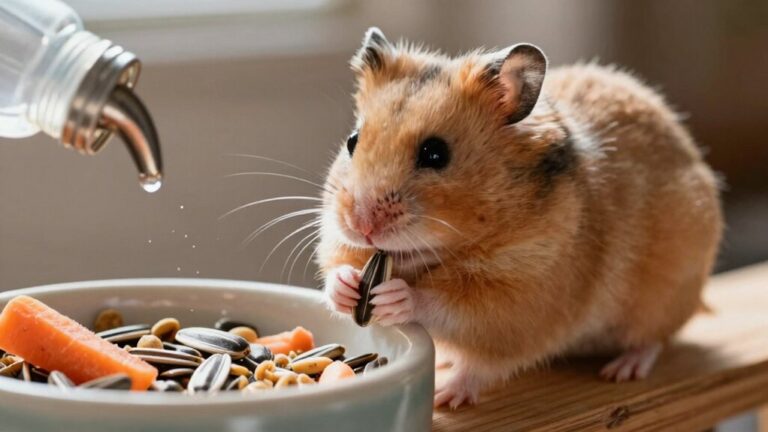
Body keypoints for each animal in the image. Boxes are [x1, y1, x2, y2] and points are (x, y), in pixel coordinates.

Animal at [317, 27, 722, 408]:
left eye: (435, 153)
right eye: (353, 141)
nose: (362, 226)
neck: (433, 254)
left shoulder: (520, 300)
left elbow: (450, 312)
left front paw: (401, 307)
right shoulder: (340, 242)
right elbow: (337, 265)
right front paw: (347, 286)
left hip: (663, 295)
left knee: (653, 339)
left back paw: (621, 370)